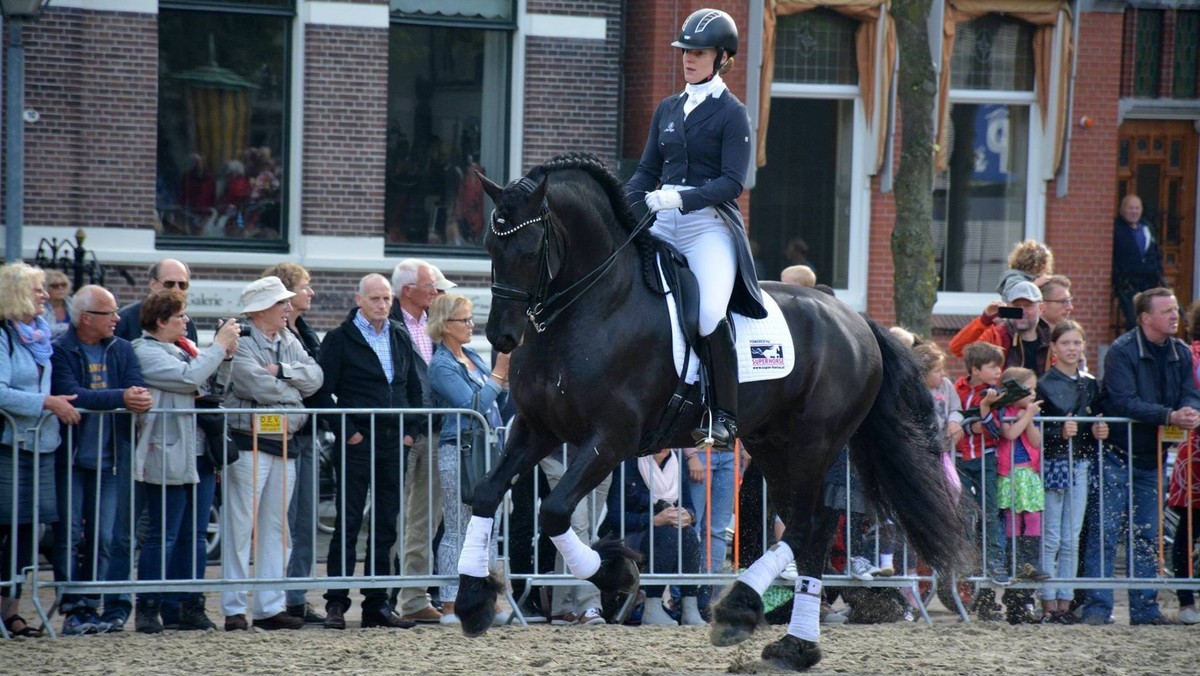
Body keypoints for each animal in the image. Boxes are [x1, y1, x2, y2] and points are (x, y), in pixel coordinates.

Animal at [453, 154, 969, 672]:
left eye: (529, 247)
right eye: (488, 246)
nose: (500, 337)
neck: (592, 308)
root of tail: (857, 320)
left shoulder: (611, 437)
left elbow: (555, 510)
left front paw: (617, 572)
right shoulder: (536, 428)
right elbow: (486, 493)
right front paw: (474, 599)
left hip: (813, 443)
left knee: (809, 526)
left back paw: (743, 610)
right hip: (772, 445)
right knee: (810, 528)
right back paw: (792, 645)